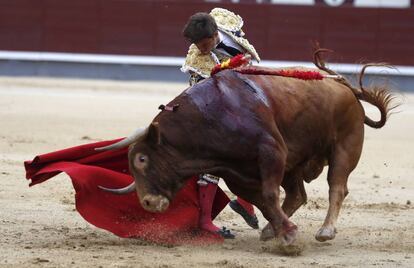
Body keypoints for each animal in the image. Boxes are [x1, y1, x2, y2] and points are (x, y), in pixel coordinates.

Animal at [96, 52, 394, 245]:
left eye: (142, 159)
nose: (147, 202)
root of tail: (344, 86)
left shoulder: (272, 152)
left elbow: (270, 195)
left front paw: (288, 236)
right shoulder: (236, 175)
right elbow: (264, 202)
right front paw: (282, 230)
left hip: (345, 146)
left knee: (337, 187)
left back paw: (326, 231)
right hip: (294, 163)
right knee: (297, 194)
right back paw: (270, 231)